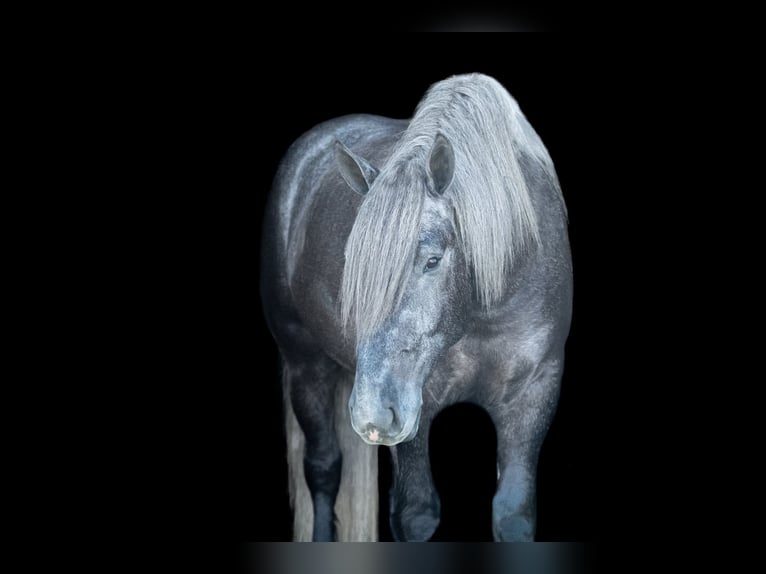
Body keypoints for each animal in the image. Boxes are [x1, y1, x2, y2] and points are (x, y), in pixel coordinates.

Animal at [260, 73, 572, 541]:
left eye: (432, 260)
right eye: (354, 264)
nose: (372, 413)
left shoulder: (534, 394)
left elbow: (513, 514)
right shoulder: (413, 410)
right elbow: (416, 514)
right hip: (306, 368)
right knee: (324, 469)